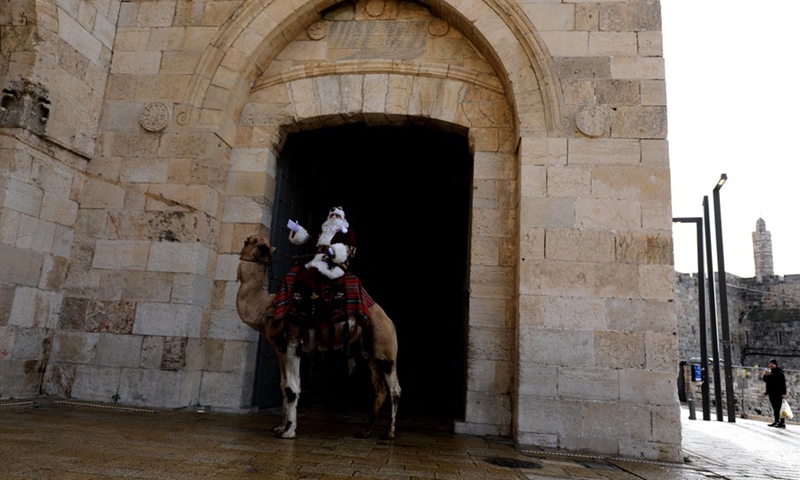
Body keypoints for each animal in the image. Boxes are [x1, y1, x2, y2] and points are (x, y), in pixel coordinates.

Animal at [236, 234, 400, 440]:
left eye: (251, 242)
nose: (243, 242)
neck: (265, 307)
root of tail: (389, 320)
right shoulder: (280, 348)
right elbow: (283, 386)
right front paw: (279, 427)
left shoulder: (292, 343)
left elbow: (291, 388)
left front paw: (288, 431)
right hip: (370, 351)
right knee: (379, 389)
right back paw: (365, 431)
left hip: (385, 346)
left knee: (394, 390)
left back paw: (389, 434)